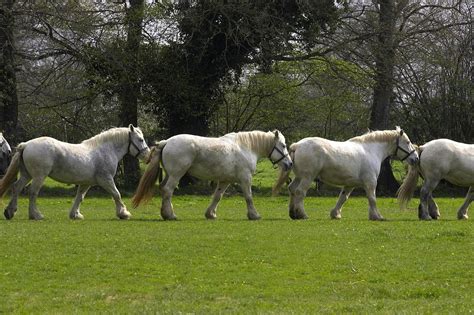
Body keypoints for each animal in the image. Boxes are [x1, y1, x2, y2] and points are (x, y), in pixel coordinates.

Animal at [0, 126, 150, 222]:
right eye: (140, 139)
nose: (148, 156)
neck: (106, 150)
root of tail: (26, 145)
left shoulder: (86, 183)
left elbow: (79, 198)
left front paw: (75, 215)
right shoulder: (106, 180)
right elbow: (116, 194)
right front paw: (123, 213)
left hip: (26, 175)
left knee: (16, 188)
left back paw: (10, 212)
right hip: (39, 176)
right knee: (32, 193)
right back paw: (35, 215)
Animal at [131, 130, 290, 221]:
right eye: (283, 145)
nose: (289, 164)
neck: (245, 147)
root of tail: (166, 142)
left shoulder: (225, 181)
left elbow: (217, 197)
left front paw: (210, 214)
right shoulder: (245, 178)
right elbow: (249, 197)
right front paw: (254, 215)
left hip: (169, 175)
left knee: (164, 189)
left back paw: (165, 213)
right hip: (176, 175)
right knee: (168, 190)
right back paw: (170, 215)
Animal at [272, 127, 416, 221]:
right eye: (408, 142)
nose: (415, 158)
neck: (371, 150)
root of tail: (297, 145)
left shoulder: (350, 185)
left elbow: (343, 198)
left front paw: (335, 214)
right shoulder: (370, 182)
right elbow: (372, 199)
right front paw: (377, 216)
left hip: (299, 176)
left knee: (292, 189)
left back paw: (293, 213)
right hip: (308, 177)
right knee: (300, 192)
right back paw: (302, 214)